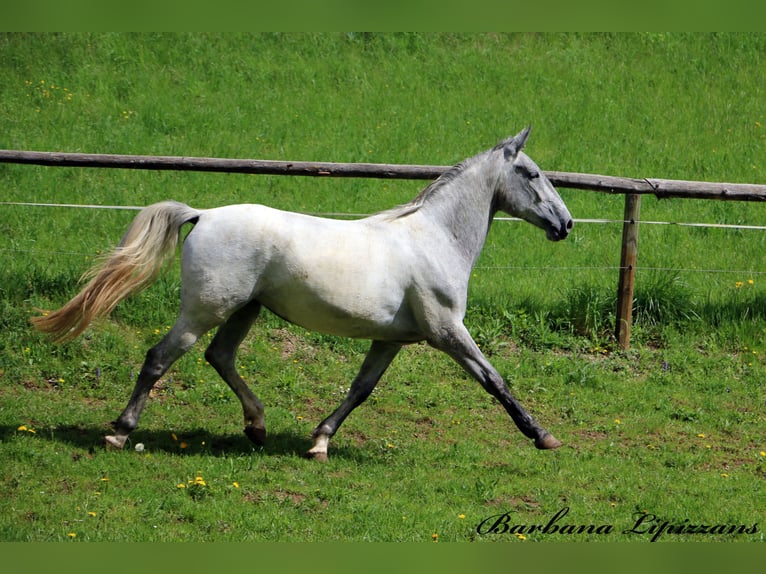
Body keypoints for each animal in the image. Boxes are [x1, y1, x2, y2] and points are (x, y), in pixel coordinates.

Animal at [32, 127, 573, 461]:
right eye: (532, 174)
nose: (565, 224)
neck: (435, 239)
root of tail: (202, 214)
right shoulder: (447, 331)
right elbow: (494, 379)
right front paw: (544, 437)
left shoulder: (391, 340)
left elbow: (360, 389)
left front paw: (319, 443)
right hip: (205, 309)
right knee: (160, 357)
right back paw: (119, 432)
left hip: (245, 310)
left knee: (219, 356)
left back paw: (256, 427)